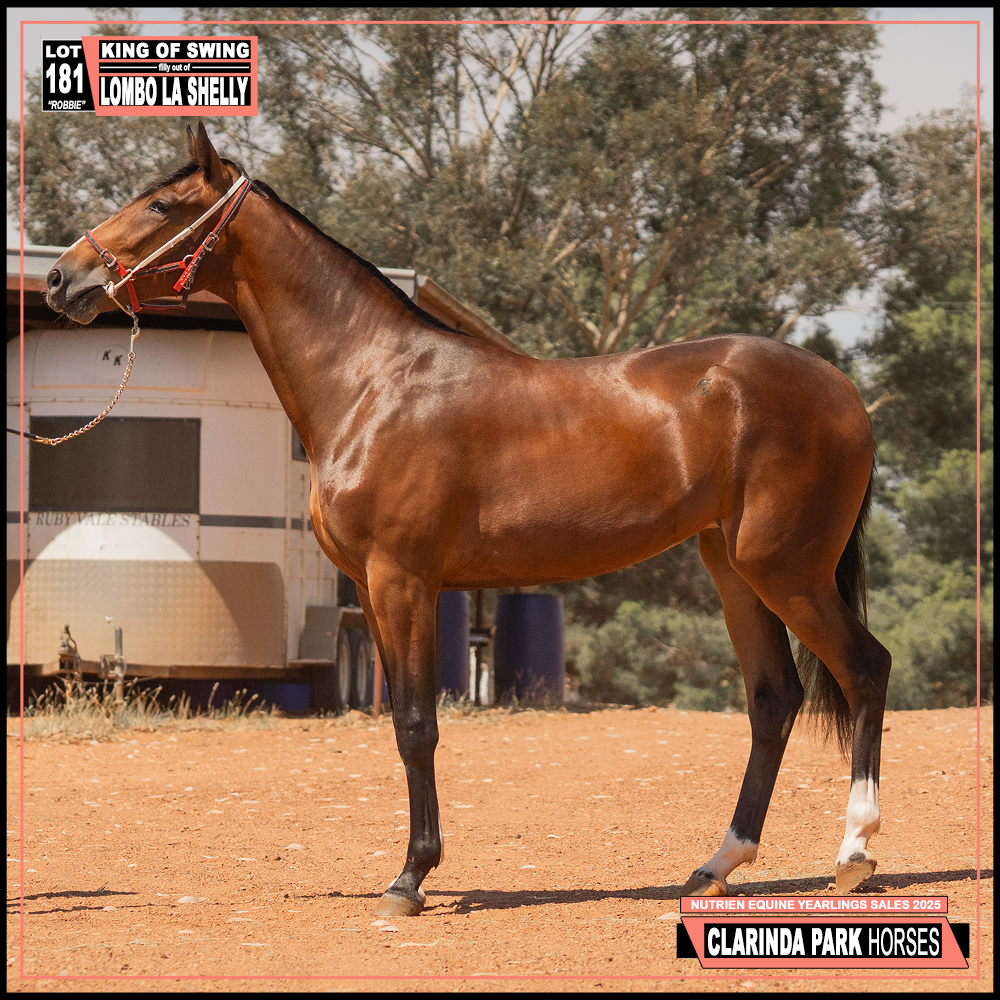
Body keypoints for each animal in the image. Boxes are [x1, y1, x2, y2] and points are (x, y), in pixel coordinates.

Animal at [44, 123, 891, 915]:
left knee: (864, 669)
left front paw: (411, 877)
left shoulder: (405, 580)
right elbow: (400, 722)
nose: (61, 277)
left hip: (787, 569)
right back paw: (717, 865)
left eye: (161, 205)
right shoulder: (374, 591)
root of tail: (843, 391)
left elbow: (420, 724)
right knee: (773, 699)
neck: (372, 380)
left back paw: (854, 853)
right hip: (734, 568)